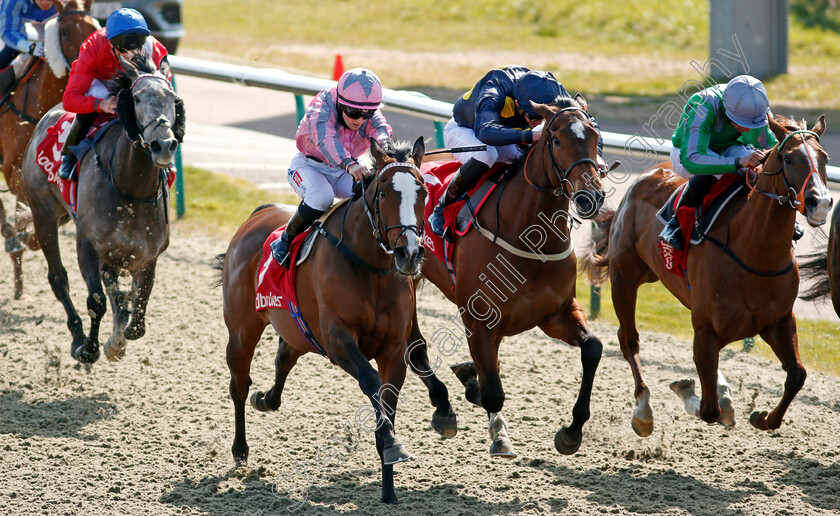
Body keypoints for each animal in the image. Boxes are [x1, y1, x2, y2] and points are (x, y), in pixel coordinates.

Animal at [18, 54, 185, 362]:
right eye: (137, 98)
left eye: (172, 98)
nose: (164, 145)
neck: (131, 190)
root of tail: (49, 114)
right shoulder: (88, 245)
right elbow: (97, 301)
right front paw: (89, 349)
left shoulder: (147, 256)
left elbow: (136, 317)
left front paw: (115, 342)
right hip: (42, 213)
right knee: (58, 277)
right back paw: (77, 334)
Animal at [218, 139, 426, 506]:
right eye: (384, 192)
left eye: (424, 191)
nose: (410, 254)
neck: (370, 268)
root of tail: (256, 214)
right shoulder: (339, 341)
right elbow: (371, 382)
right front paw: (392, 445)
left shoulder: (393, 350)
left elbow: (386, 399)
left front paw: (389, 484)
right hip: (242, 331)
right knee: (239, 384)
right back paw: (240, 450)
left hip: (298, 331)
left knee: (283, 359)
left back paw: (265, 399)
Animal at [410, 94, 608, 458]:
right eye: (556, 140)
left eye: (594, 137)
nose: (592, 196)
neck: (528, 237)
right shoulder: (478, 319)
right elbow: (493, 390)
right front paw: (499, 434)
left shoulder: (555, 313)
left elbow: (593, 348)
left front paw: (571, 431)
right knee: (415, 346)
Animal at [580, 114, 832, 436]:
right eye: (788, 159)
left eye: (824, 158)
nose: (820, 203)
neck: (754, 252)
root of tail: (643, 178)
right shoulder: (706, 329)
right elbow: (709, 408)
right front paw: (688, 389)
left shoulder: (778, 322)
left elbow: (797, 374)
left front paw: (761, 416)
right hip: (625, 278)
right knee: (629, 339)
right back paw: (643, 411)